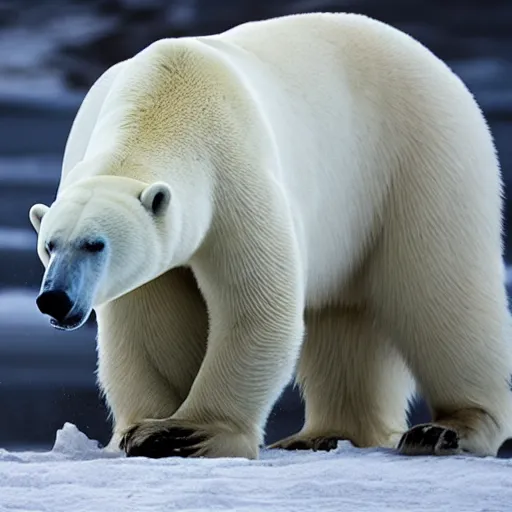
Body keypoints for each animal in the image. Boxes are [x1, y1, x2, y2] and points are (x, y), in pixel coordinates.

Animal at [29, 13, 512, 460]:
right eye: (49, 245)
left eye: (95, 244)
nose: (54, 299)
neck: (167, 96)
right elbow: (149, 319)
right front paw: (144, 427)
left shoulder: (234, 172)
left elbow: (256, 302)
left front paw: (186, 432)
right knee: (344, 315)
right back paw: (321, 434)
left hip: (420, 159)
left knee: (440, 292)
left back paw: (447, 429)